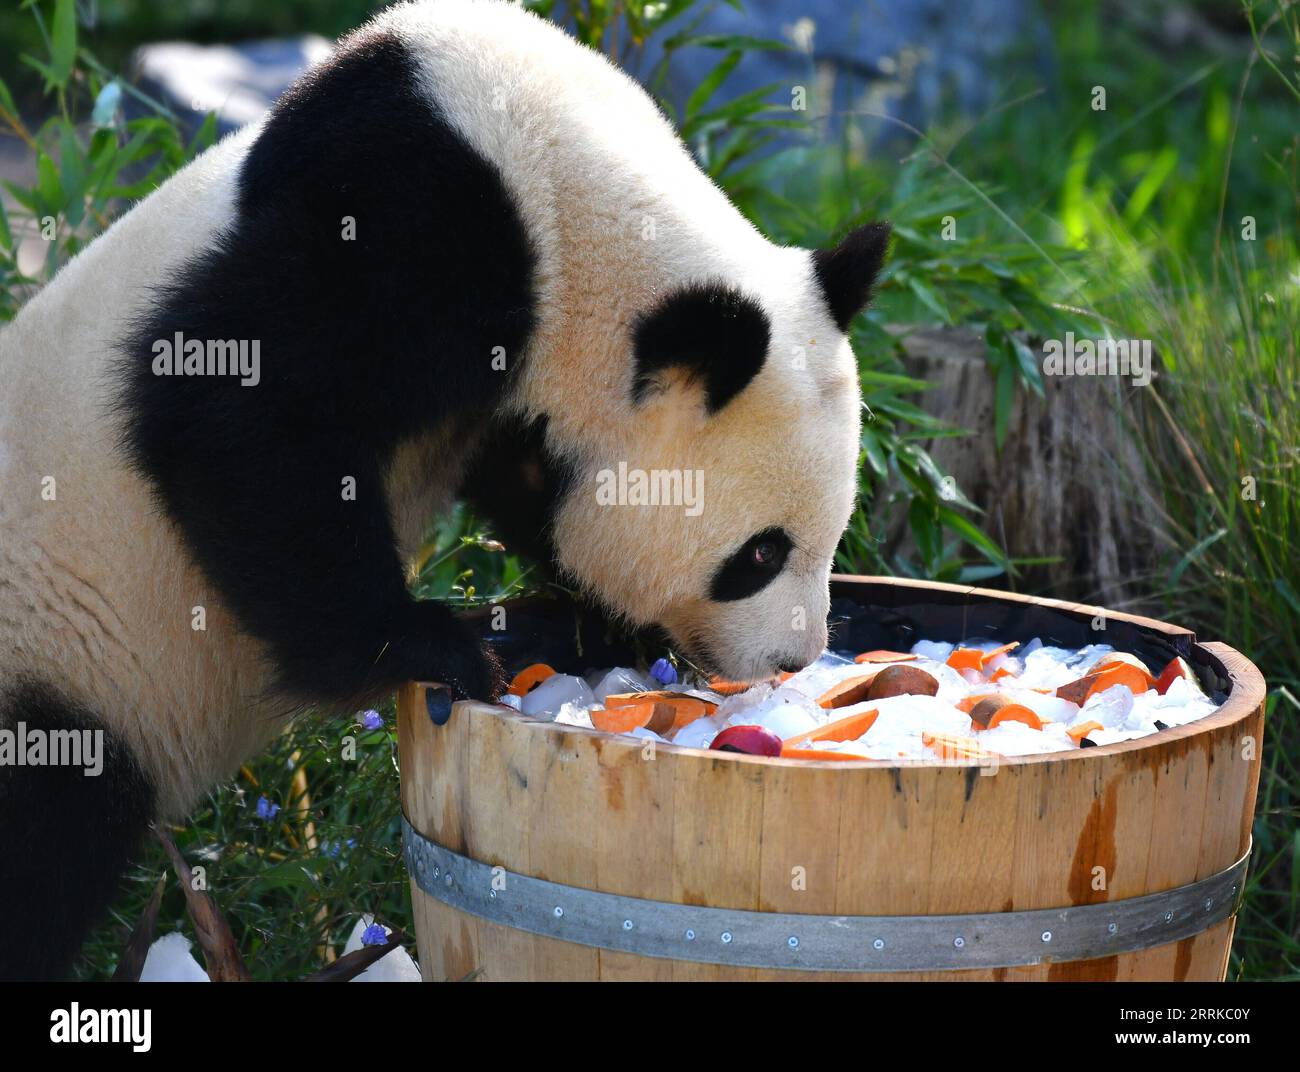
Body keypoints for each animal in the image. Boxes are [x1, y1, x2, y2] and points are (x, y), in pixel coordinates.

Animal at [0, 0, 888, 979]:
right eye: (760, 555)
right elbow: (230, 411)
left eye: (836, 532)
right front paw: (438, 645)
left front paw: (593, 624)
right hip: (57, 656)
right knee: (45, 834)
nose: (795, 659)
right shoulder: (405, 222)